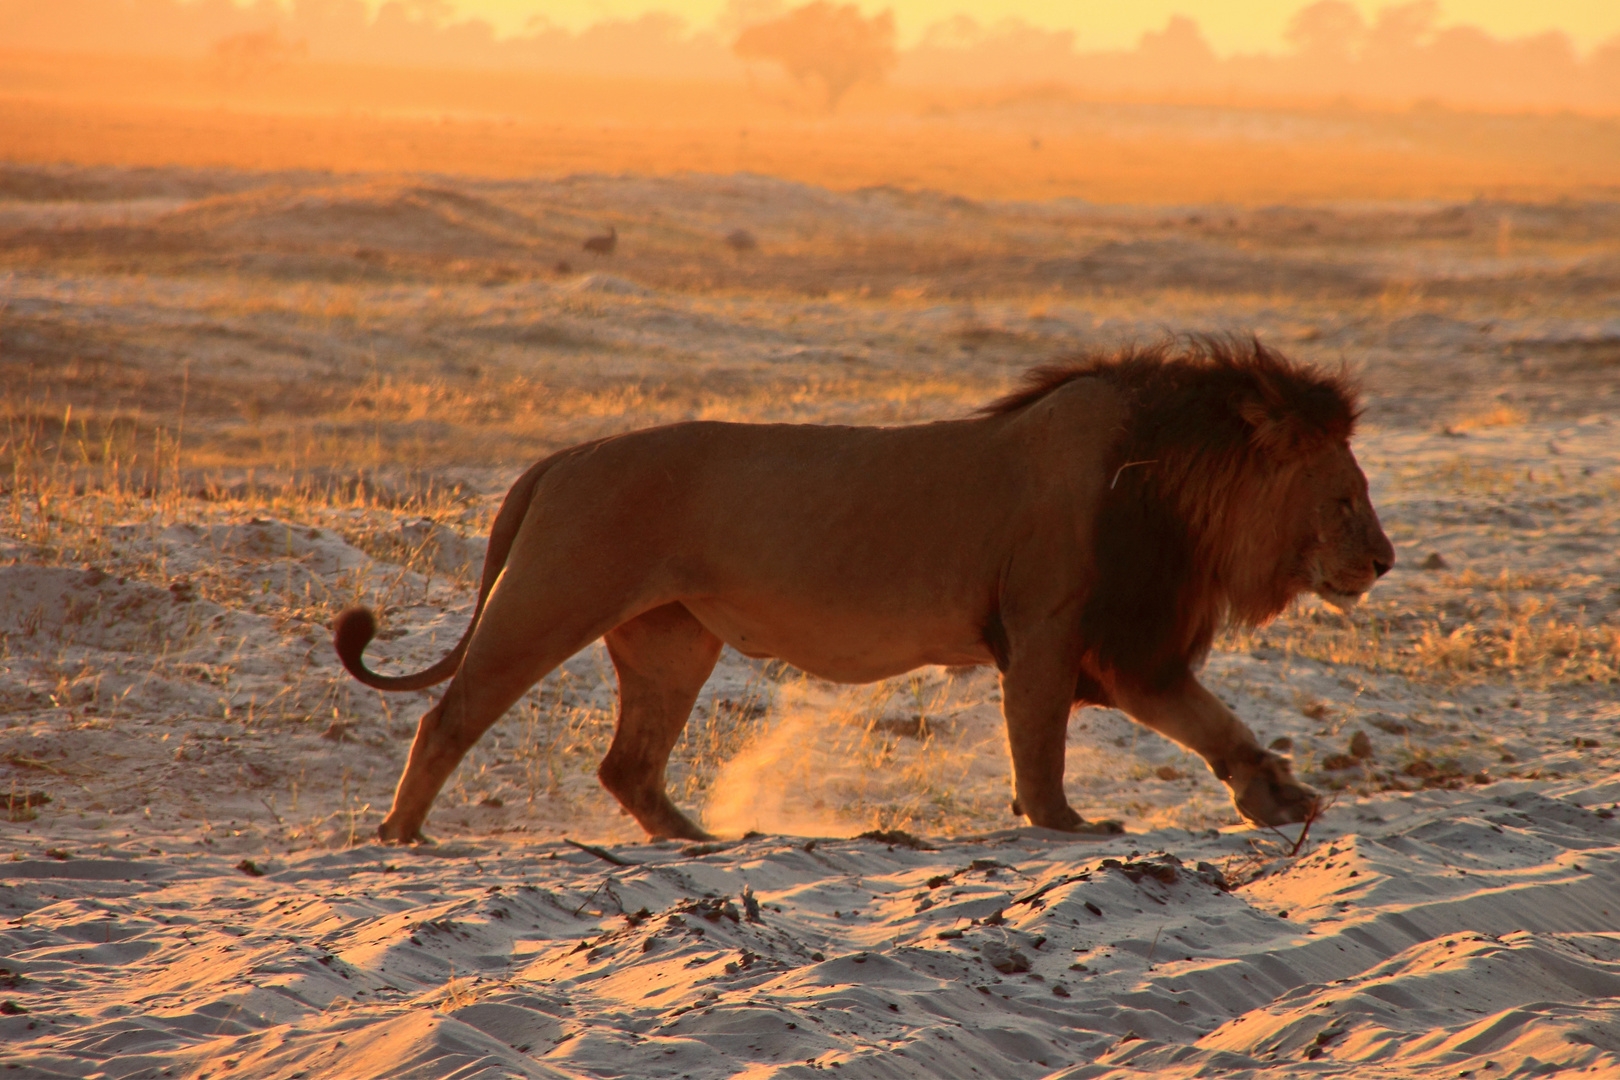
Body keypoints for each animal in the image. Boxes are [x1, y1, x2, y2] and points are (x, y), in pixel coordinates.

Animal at [332, 338, 1393, 841]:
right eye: (1345, 499)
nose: (1383, 561)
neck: (1173, 486)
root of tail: (562, 455)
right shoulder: (1052, 626)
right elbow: (1040, 742)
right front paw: (1063, 824)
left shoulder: (1130, 647)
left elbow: (1215, 724)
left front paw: (1279, 795)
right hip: (552, 600)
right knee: (450, 717)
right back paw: (403, 835)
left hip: (672, 639)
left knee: (626, 766)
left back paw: (702, 839)